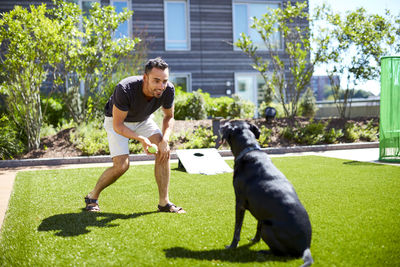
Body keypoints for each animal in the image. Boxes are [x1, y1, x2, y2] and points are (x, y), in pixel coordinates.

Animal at [220, 121, 314, 267]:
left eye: (228, 123)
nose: (220, 125)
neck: (249, 150)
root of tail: (306, 248)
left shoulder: (239, 203)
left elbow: (237, 229)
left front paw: (232, 247)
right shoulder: (259, 208)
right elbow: (257, 226)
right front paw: (255, 240)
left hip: (268, 228)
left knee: (282, 254)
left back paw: (264, 252)